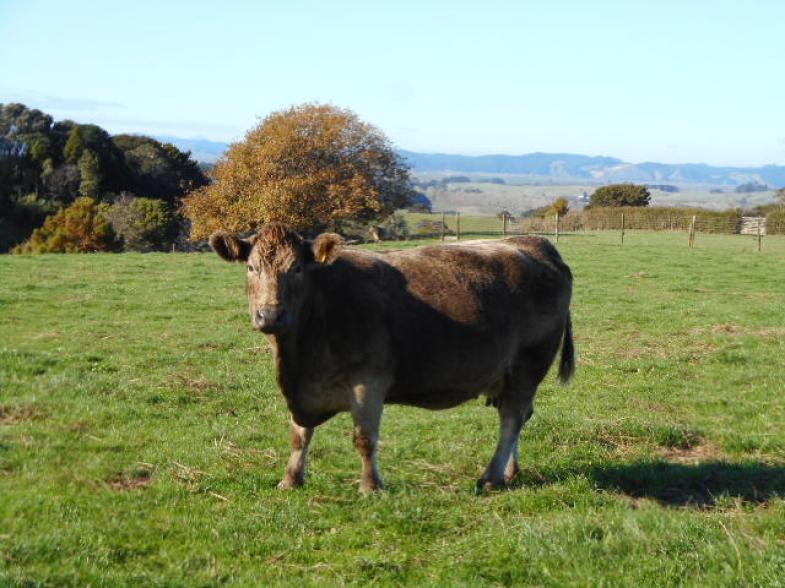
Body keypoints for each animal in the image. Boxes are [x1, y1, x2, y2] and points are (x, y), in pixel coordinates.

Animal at [210, 223, 574, 494]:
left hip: (529, 363)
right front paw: (290, 479)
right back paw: (512, 471)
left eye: (297, 268)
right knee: (519, 415)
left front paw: (371, 486)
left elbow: (364, 438)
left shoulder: (368, 382)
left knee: (511, 419)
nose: (270, 314)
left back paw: (492, 476)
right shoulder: (304, 389)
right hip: (509, 375)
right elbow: (300, 435)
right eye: (252, 267)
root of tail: (534, 242)